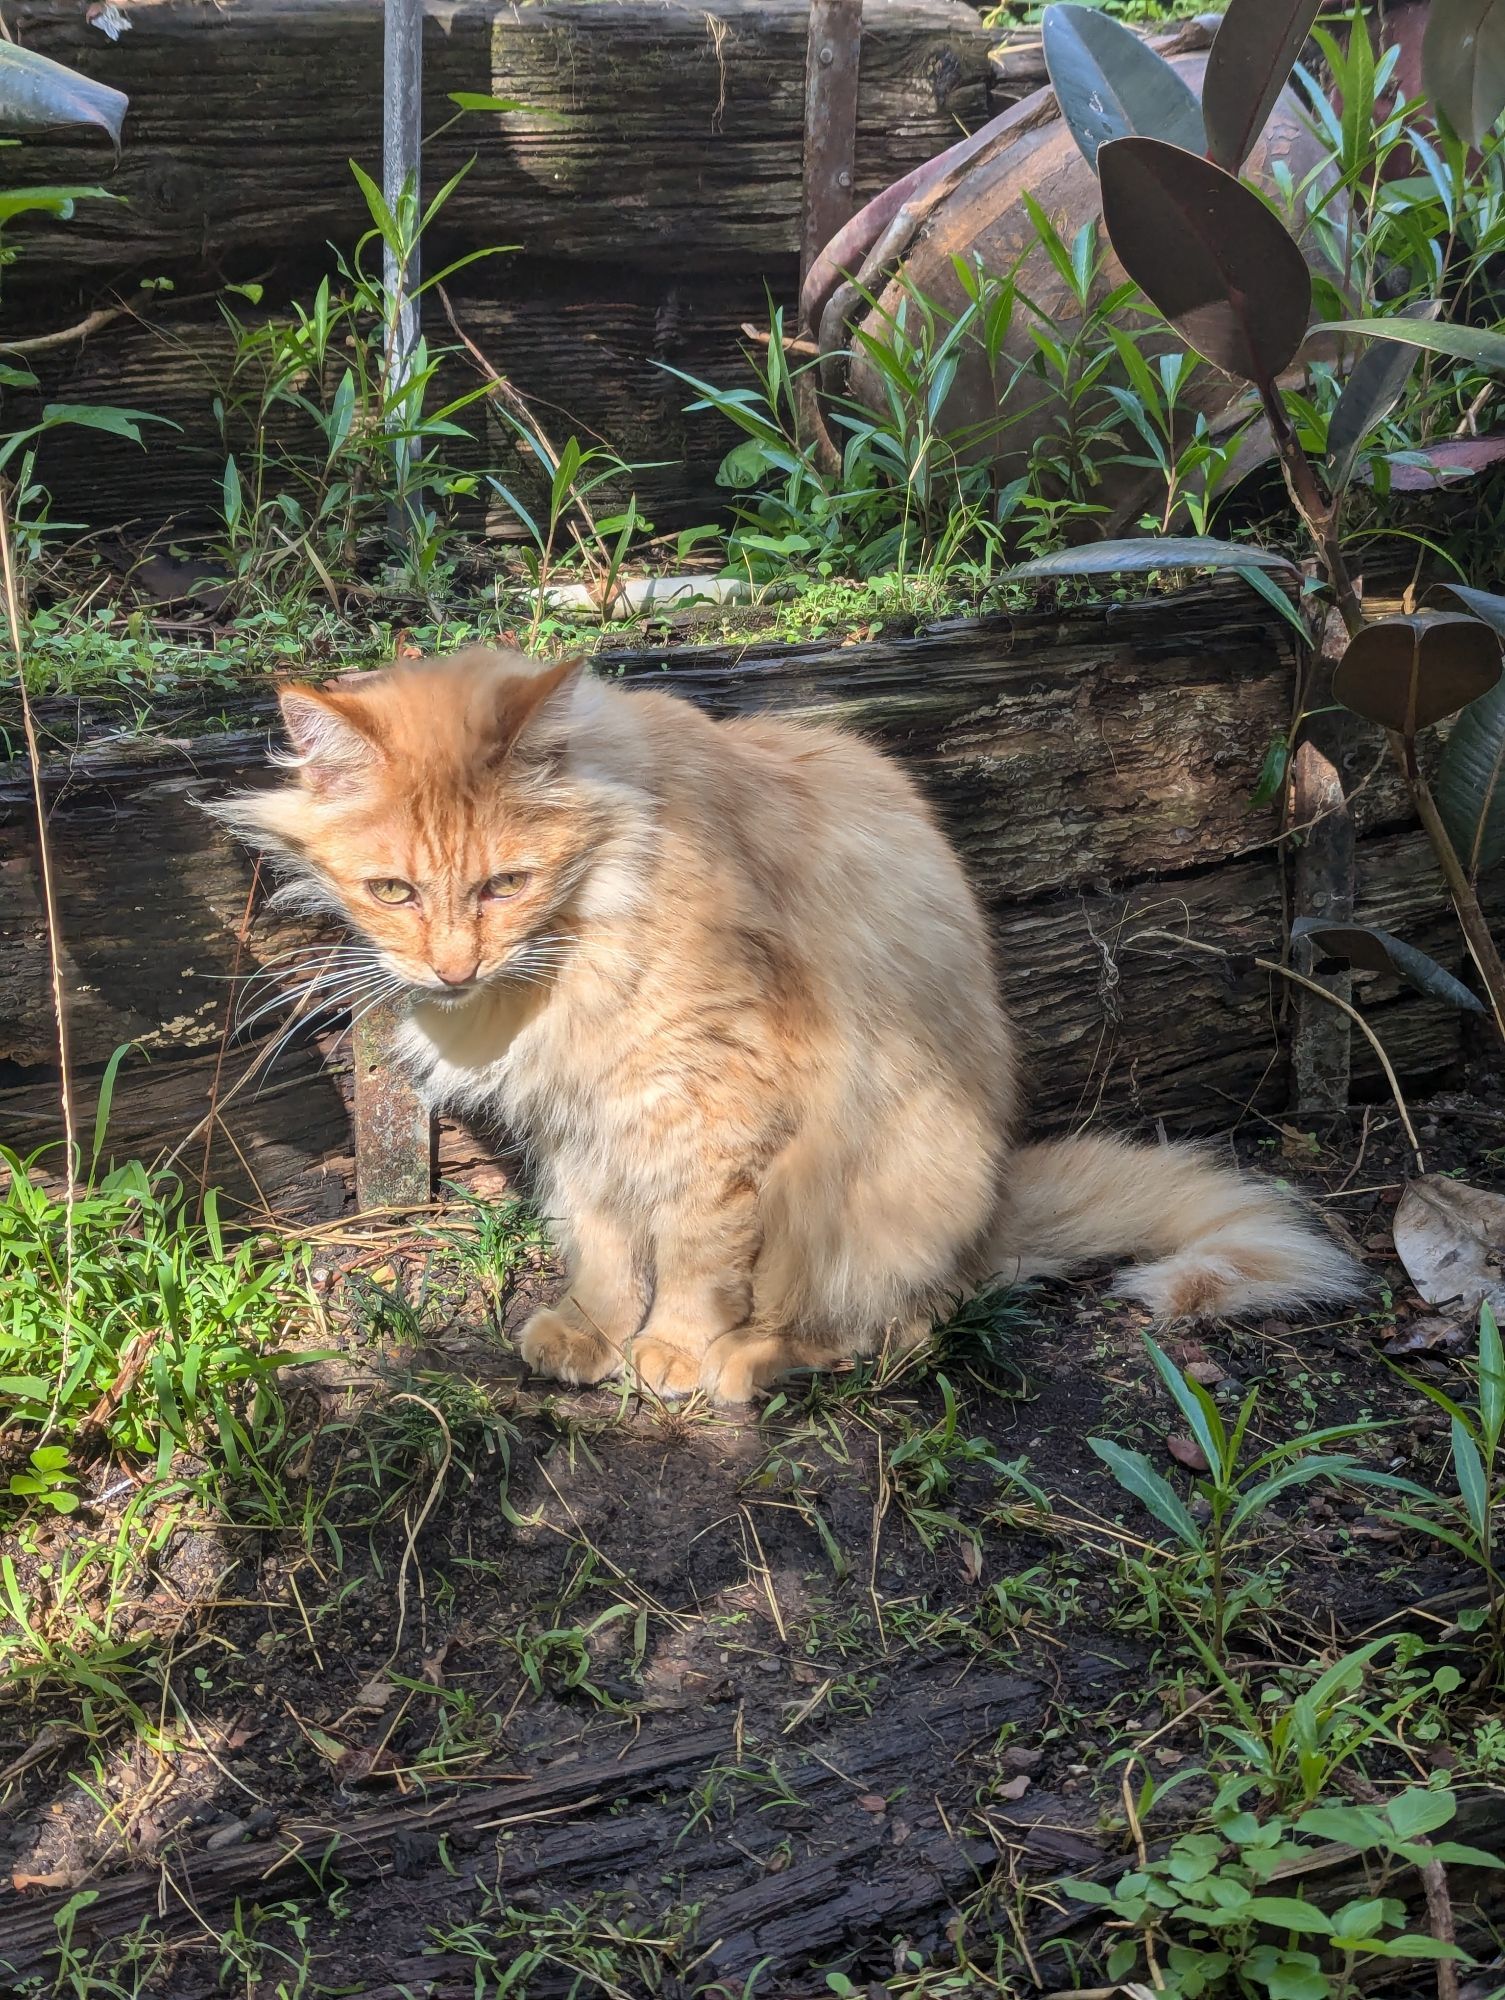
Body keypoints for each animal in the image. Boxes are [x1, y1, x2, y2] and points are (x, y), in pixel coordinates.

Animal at [223, 648, 1360, 1400]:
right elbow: (600, 1246)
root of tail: (993, 1209)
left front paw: (670, 1348)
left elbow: (691, 1255)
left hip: (867, 1192)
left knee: (896, 1329)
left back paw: (748, 1362)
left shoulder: (709, 1108)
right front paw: (592, 1331)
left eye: (507, 883)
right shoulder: (585, 1127)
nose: (452, 968)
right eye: (394, 891)